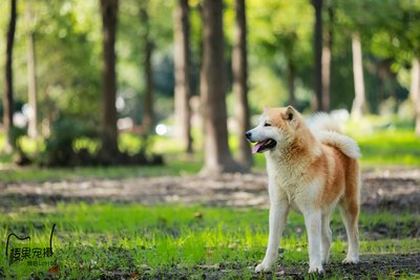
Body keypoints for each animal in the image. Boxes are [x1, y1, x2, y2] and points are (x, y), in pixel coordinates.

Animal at [246, 106, 360, 272]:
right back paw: (324, 259)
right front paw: (266, 266)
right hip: (323, 212)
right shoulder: (278, 208)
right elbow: (272, 243)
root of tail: (336, 143)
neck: (289, 165)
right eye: (259, 123)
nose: (247, 134)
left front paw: (315, 268)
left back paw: (352, 258)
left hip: (348, 206)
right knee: (328, 235)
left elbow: (313, 243)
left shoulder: (311, 210)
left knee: (353, 234)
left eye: (267, 124)